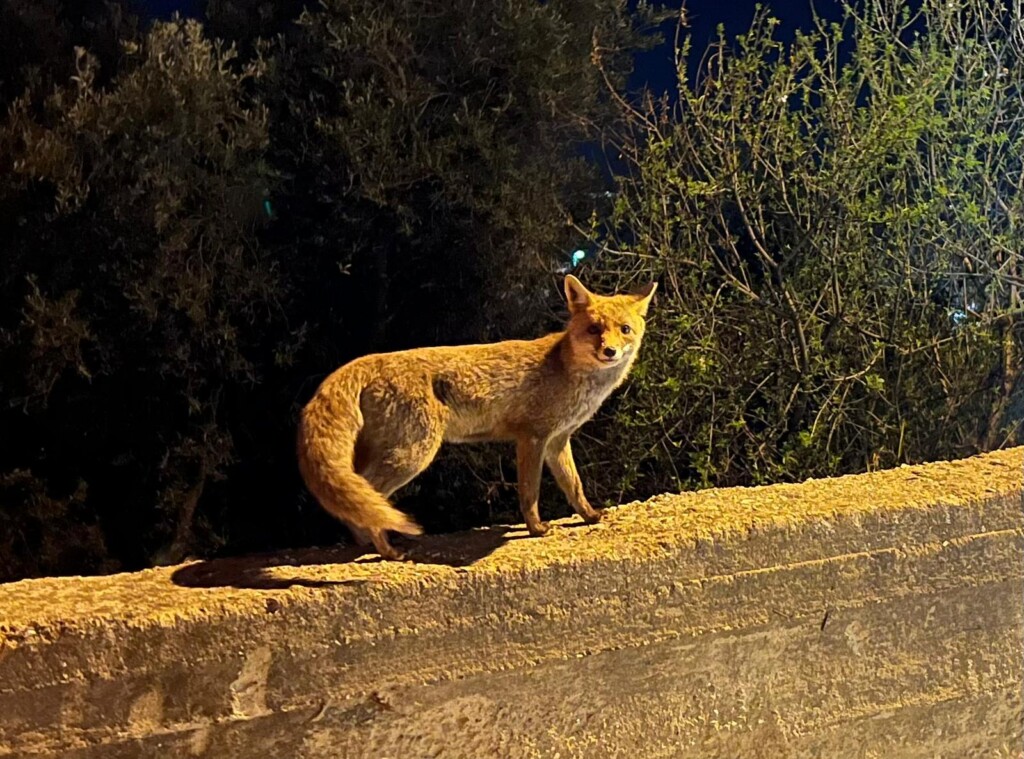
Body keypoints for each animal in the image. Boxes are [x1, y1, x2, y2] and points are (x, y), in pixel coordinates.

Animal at [297, 274, 657, 560]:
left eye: (624, 330)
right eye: (594, 329)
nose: (609, 351)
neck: (567, 370)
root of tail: (365, 361)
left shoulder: (557, 440)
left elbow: (574, 486)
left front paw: (590, 516)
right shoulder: (532, 437)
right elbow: (530, 492)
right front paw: (536, 528)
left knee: (353, 498)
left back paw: (365, 545)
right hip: (412, 454)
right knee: (367, 494)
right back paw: (386, 550)